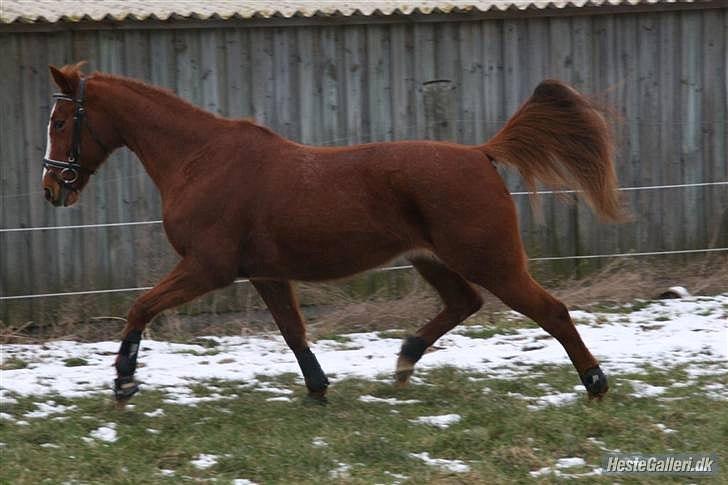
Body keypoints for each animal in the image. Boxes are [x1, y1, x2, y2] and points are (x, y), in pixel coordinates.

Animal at [41, 64, 620, 404]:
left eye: (61, 121)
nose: (51, 187)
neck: (200, 159)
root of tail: (481, 154)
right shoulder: (265, 274)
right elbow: (293, 331)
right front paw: (318, 388)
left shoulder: (209, 267)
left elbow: (140, 306)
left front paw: (123, 380)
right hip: (432, 258)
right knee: (465, 303)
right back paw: (405, 360)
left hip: (491, 260)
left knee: (551, 311)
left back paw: (595, 384)